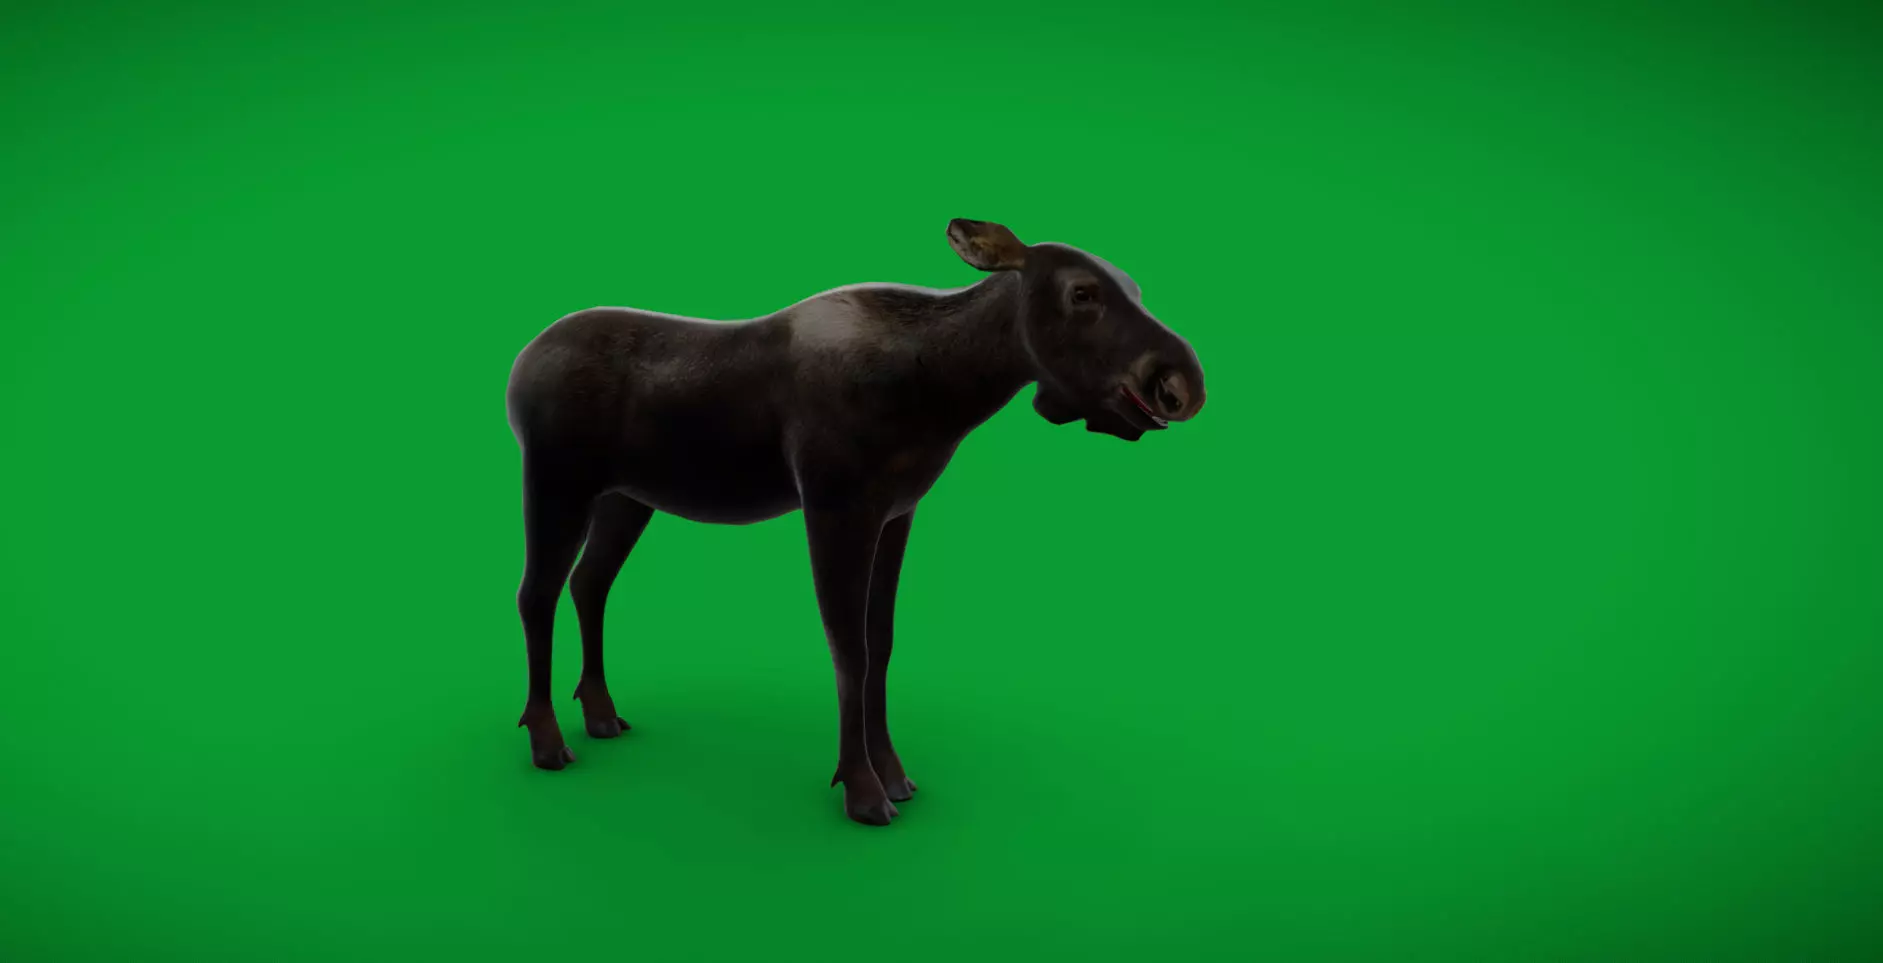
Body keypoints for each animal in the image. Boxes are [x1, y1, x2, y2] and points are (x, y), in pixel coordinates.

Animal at [504, 218, 1207, 825]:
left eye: (1135, 287)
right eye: (1082, 292)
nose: (1179, 383)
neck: (947, 393)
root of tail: (516, 368)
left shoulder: (897, 512)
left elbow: (882, 642)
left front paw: (894, 774)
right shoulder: (835, 504)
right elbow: (849, 648)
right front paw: (862, 790)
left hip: (627, 497)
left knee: (589, 584)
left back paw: (600, 713)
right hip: (556, 478)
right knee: (536, 593)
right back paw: (547, 741)